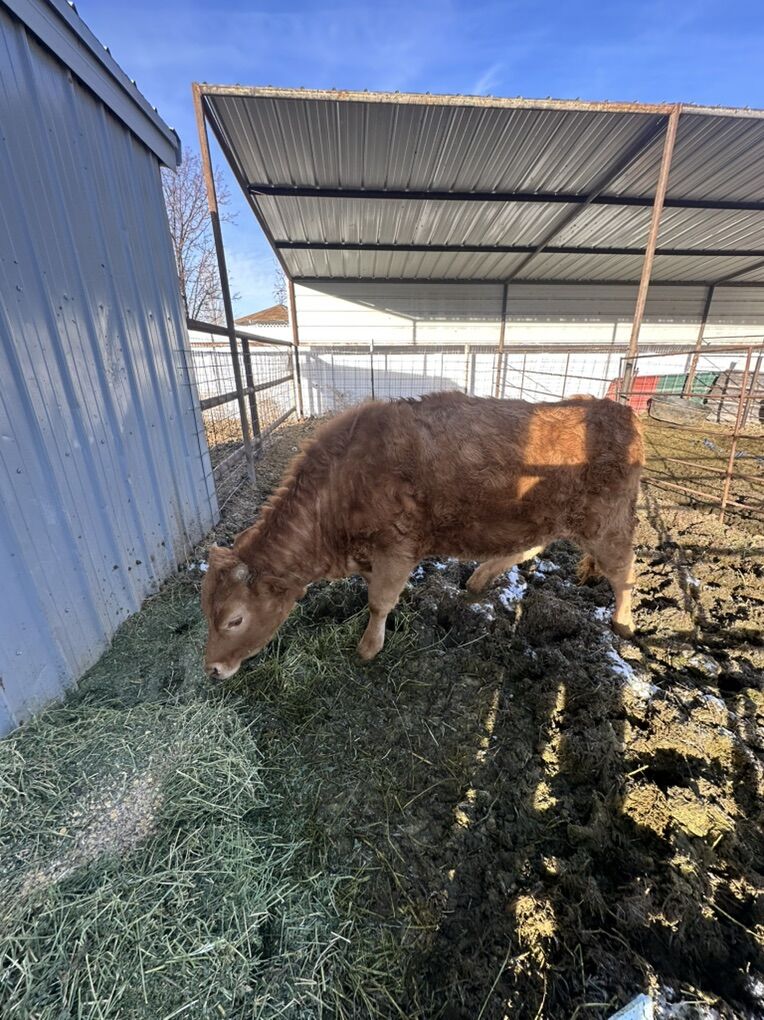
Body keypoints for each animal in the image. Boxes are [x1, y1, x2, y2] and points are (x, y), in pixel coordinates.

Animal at [202, 392, 644, 680]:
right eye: (207, 612)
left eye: (235, 619)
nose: (212, 669)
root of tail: (619, 410)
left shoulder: (396, 545)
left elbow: (378, 601)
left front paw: (368, 648)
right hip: (544, 515)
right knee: (530, 546)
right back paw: (479, 578)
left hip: (606, 521)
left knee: (624, 569)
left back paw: (623, 623)